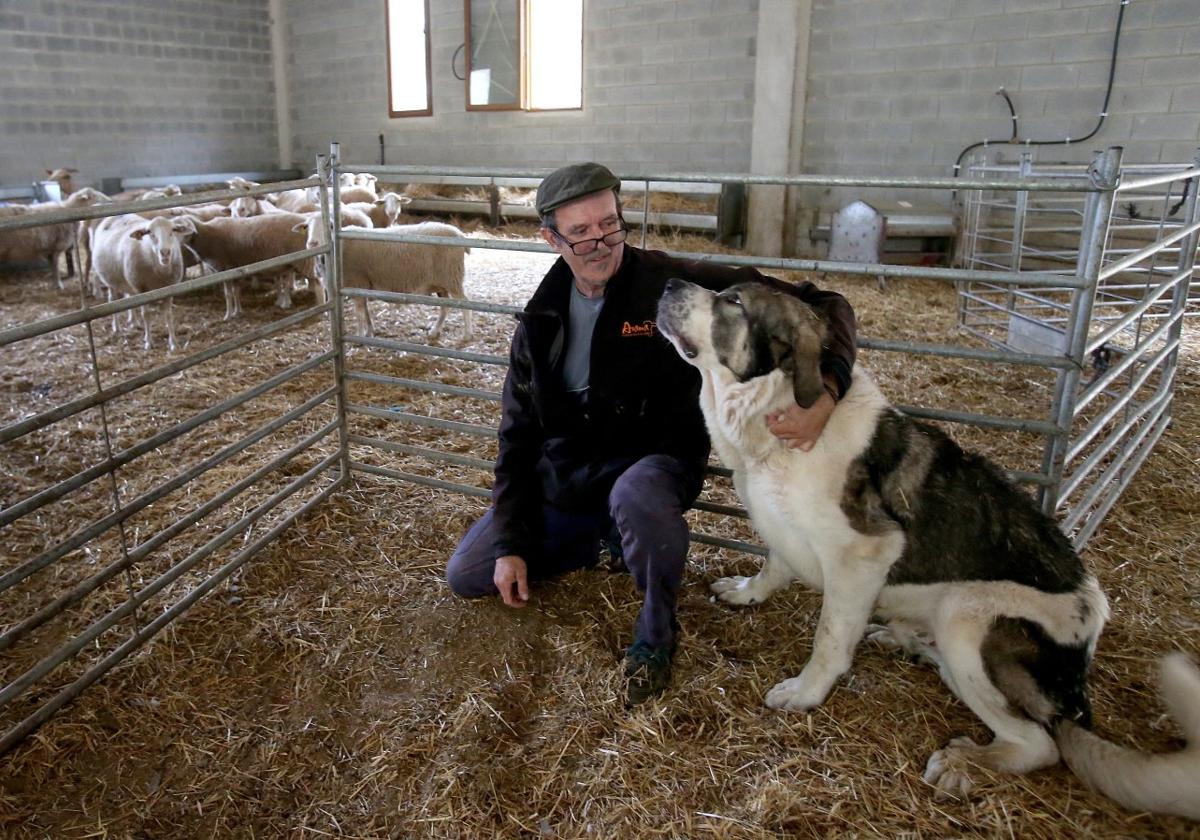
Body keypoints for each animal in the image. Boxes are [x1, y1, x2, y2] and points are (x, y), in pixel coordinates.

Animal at [89, 216, 196, 350]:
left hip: (128, 281)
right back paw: (117, 327)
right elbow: (146, 314)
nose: (165, 252)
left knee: (128, 298)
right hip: (111, 281)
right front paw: (148, 342)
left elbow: (168, 315)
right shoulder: (142, 290)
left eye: (173, 230)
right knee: (112, 300)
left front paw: (173, 344)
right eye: (150, 232)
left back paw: (134, 322)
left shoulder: (170, 289)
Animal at [295, 216, 472, 340]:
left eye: (330, 226)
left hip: (452, 277)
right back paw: (435, 331)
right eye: (307, 227)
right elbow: (365, 311)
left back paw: (467, 334)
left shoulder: (355, 282)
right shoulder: (362, 285)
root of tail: (459, 234)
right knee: (445, 307)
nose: (312, 243)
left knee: (465, 303)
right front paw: (369, 332)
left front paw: (358, 336)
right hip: (442, 282)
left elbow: (359, 313)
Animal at [657, 278, 1200, 816]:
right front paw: (746, 592)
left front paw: (806, 692)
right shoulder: (786, 527)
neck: (771, 406)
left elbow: (829, 637)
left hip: (967, 612)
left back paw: (964, 760)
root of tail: (1077, 691)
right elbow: (773, 565)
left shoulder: (863, 554)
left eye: (733, 301)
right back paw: (904, 640)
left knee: (1037, 743)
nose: (670, 283)